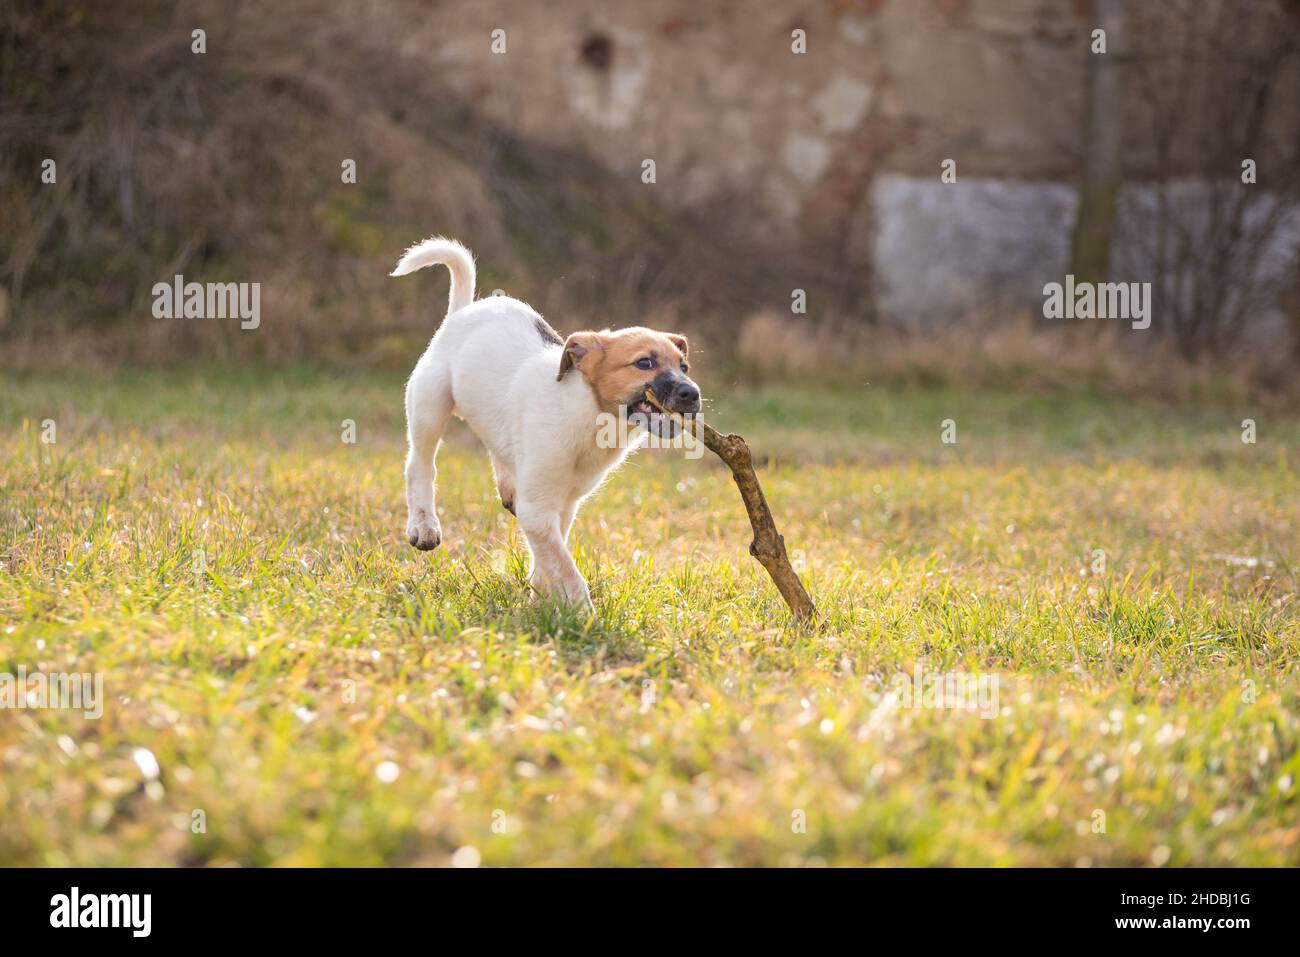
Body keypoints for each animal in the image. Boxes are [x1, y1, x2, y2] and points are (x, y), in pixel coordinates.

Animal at [390, 239, 702, 613]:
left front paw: (539, 595)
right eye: (644, 363)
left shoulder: (564, 504)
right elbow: (565, 567)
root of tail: (461, 313)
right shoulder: (539, 509)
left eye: (684, 366)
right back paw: (423, 526)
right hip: (429, 404)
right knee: (419, 465)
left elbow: (551, 555)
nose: (693, 394)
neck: (588, 416)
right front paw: (582, 616)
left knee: (497, 448)